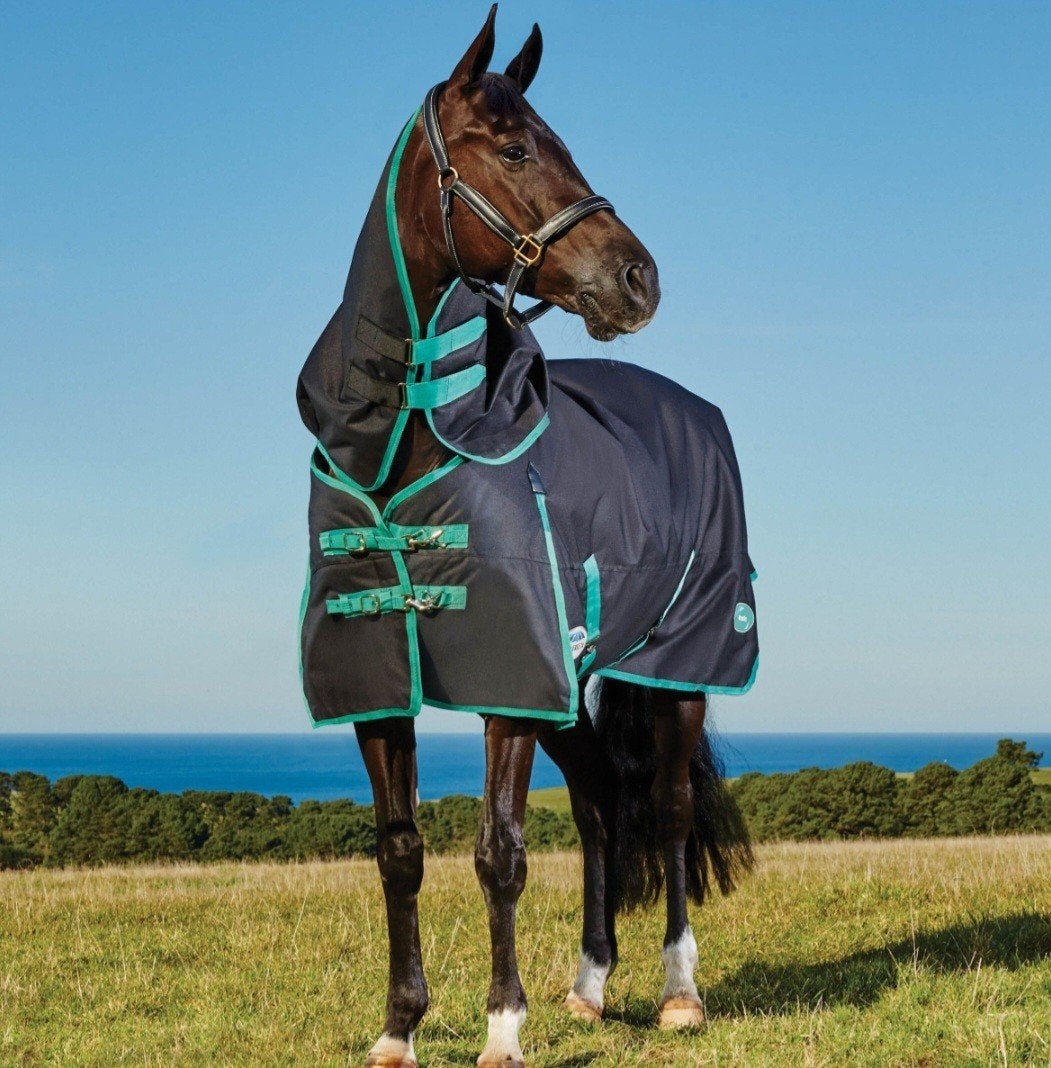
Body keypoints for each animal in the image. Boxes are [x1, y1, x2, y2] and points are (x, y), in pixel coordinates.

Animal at [296, 8, 757, 1066]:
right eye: (513, 149)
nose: (638, 279)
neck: (406, 438)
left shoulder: (508, 677)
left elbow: (497, 853)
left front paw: (500, 1029)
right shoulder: (382, 679)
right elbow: (399, 855)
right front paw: (399, 1028)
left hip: (676, 667)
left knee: (665, 808)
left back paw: (678, 992)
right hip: (570, 687)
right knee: (597, 802)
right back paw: (588, 986)